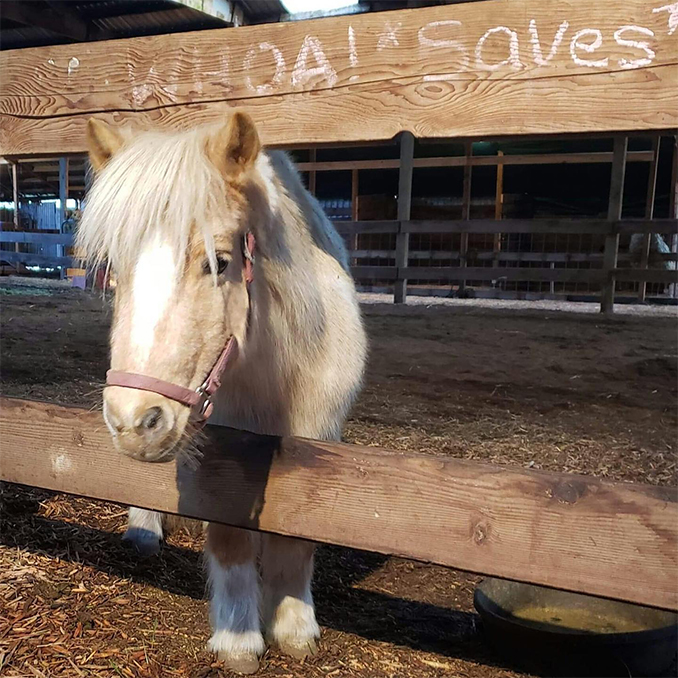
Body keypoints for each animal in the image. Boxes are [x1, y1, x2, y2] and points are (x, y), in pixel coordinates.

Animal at [77, 111, 370, 676]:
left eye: (219, 261)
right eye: (115, 270)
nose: (135, 422)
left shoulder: (318, 436)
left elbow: (298, 536)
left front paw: (295, 628)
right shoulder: (221, 448)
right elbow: (230, 537)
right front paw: (240, 640)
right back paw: (144, 530)